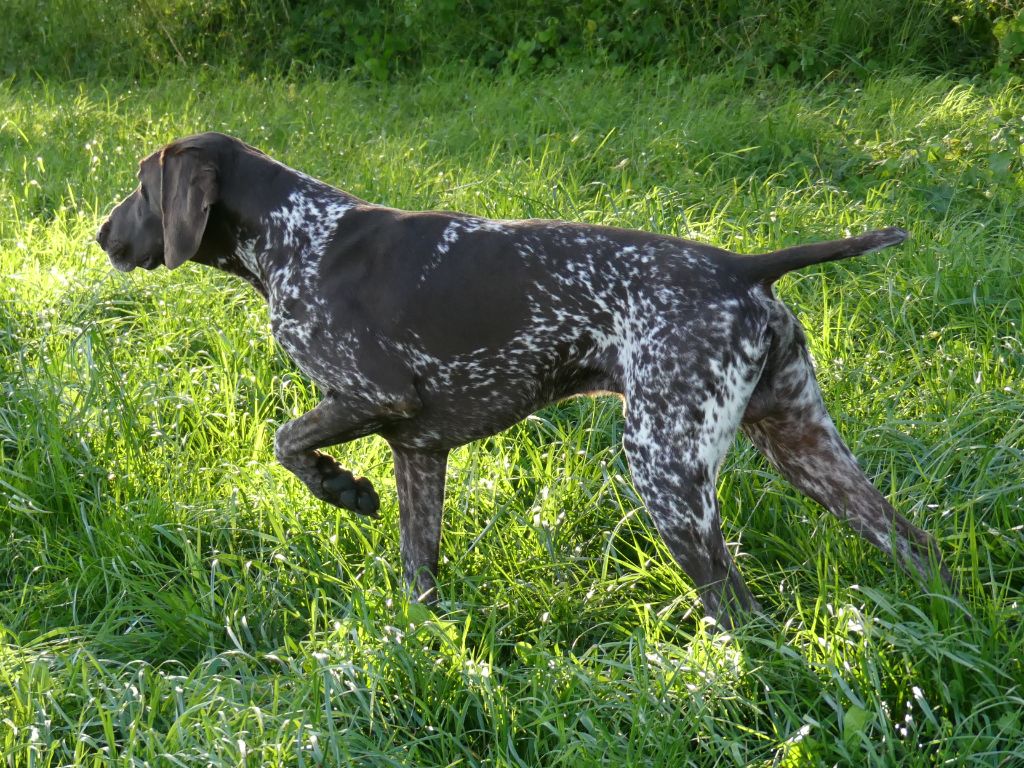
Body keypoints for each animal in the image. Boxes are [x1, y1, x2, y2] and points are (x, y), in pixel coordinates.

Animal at [96, 131, 950, 626]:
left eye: (140, 188)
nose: (102, 235)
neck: (295, 235)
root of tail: (742, 268)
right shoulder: (419, 449)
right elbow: (418, 571)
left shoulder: (372, 395)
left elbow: (286, 442)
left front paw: (342, 489)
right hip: (805, 449)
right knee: (914, 542)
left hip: (665, 470)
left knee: (741, 610)